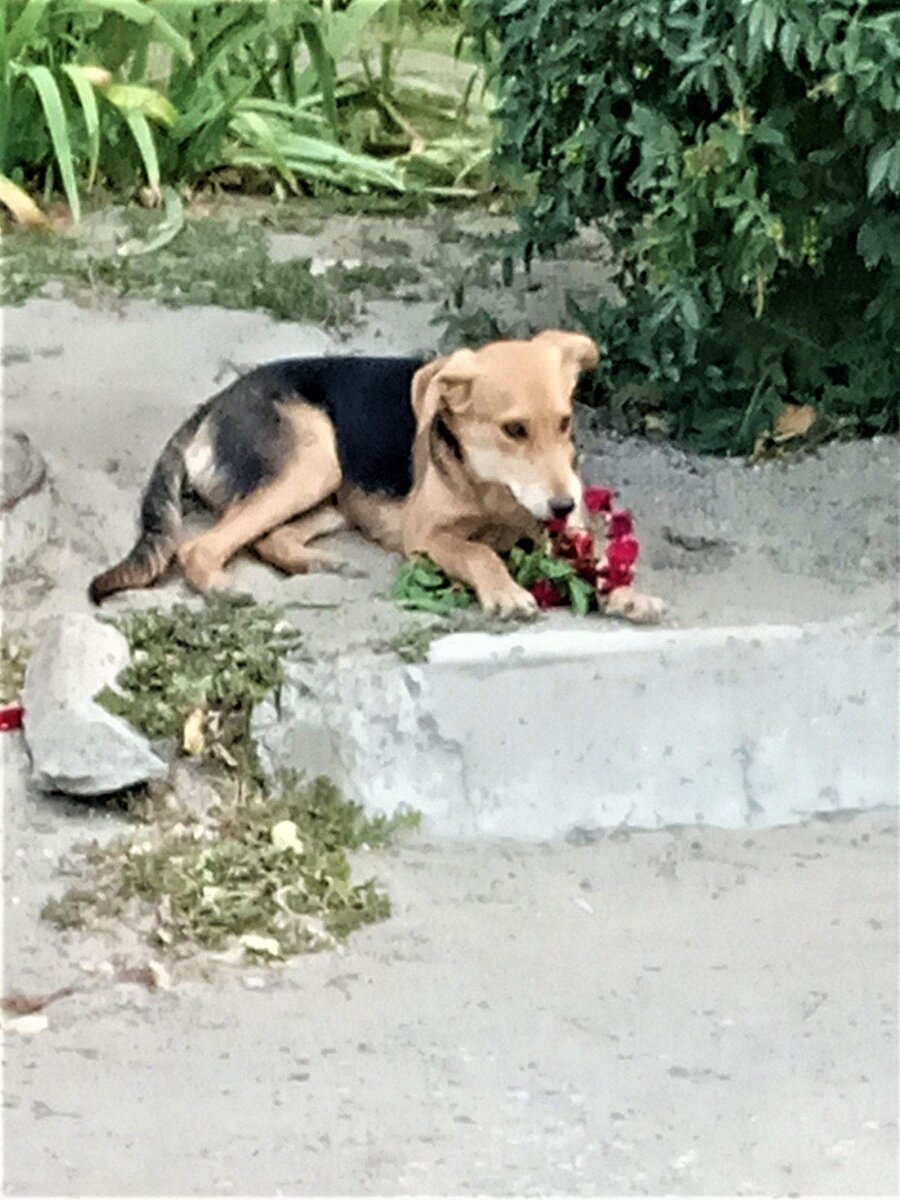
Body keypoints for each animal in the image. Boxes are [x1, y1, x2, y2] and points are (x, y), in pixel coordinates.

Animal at [91, 331, 643, 619]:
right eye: (514, 430)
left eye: (565, 423)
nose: (562, 504)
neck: (494, 491)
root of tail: (213, 403)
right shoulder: (426, 535)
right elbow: (479, 552)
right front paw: (505, 591)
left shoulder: (565, 524)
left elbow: (596, 555)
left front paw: (628, 595)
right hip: (313, 463)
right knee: (200, 547)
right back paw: (225, 589)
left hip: (334, 493)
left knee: (269, 538)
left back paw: (318, 563)